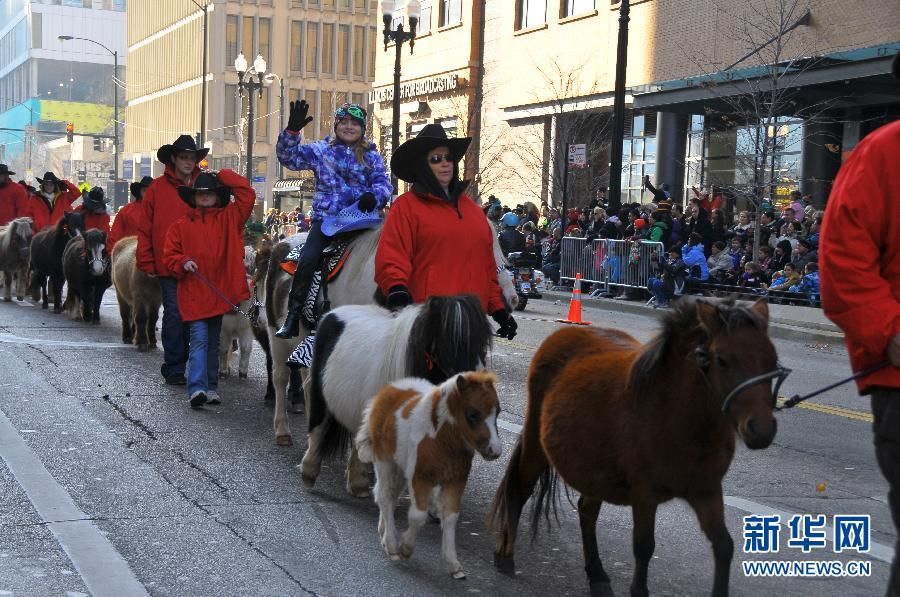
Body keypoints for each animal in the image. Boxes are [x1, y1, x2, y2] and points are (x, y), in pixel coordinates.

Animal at [300, 294, 492, 498]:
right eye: (450, 339)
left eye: (481, 341)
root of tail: (332, 313)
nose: (478, 384)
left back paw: (358, 484)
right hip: (320, 395)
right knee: (318, 428)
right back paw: (309, 473)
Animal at [356, 370, 502, 580]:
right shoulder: (420, 478)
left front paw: (453, 564)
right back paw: (392, 545)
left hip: (400, 469)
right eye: (473, 414)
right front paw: (405, 548)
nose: (495, 451)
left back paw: (384, 535)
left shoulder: (456, 482)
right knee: (384, 495)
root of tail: (387, 390)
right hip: (384, 461)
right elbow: (418, 516)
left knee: (389, 496)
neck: (441, 440)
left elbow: (450, 517)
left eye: (497, 412)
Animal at [488, 298, 784, 596]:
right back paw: (505, 552)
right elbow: (643, 547)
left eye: (772, 361)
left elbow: (724, 547)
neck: (680, 415)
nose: (761, 430)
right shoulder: (645, 494)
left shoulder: (706, 490)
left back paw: (597, 574)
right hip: (537, 444)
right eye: (722, 360)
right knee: (521, 487)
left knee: (587, 511)